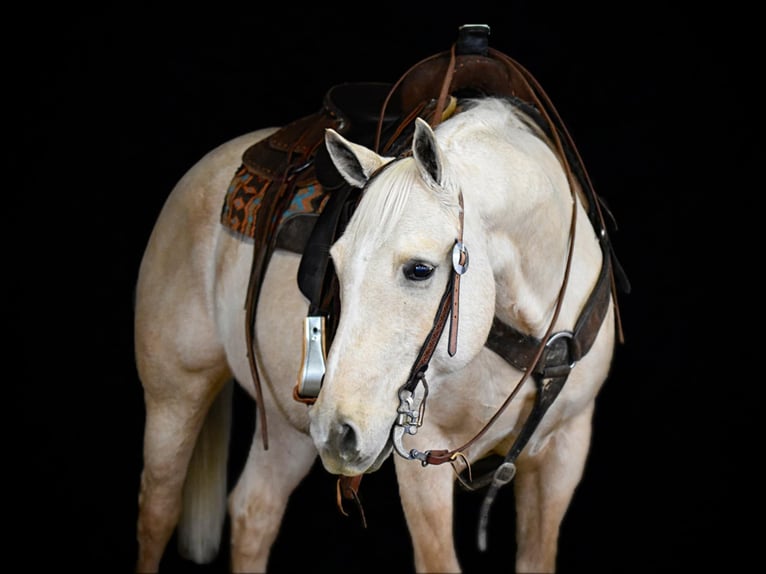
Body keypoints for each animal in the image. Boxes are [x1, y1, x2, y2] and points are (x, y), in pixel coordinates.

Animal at [135, 28, 632, 574]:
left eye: (420, 270)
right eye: (335, 265)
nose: (340, 433)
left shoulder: (564, 452)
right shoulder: (425, 460)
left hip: (289, 428)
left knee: (253, 512)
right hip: (176, 397)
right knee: (157, 513)